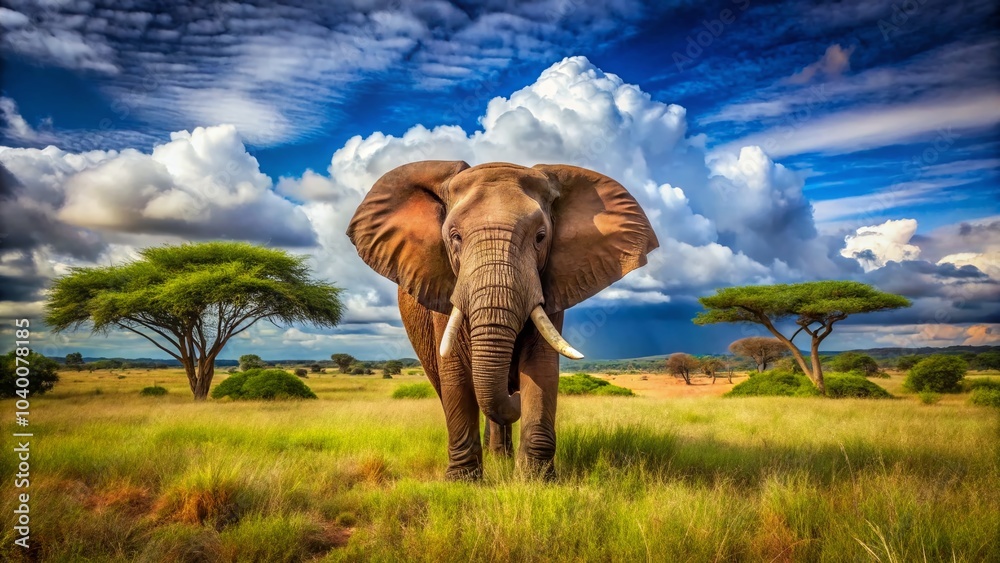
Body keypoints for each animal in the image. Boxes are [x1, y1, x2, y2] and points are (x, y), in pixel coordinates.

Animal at [347, 160, 658, 479]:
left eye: (540, 237)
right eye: (455, 237)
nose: (515, 394)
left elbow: (540, 365)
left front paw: (535, 480)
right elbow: (455, 371)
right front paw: (462, 481)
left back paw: (501, 456)